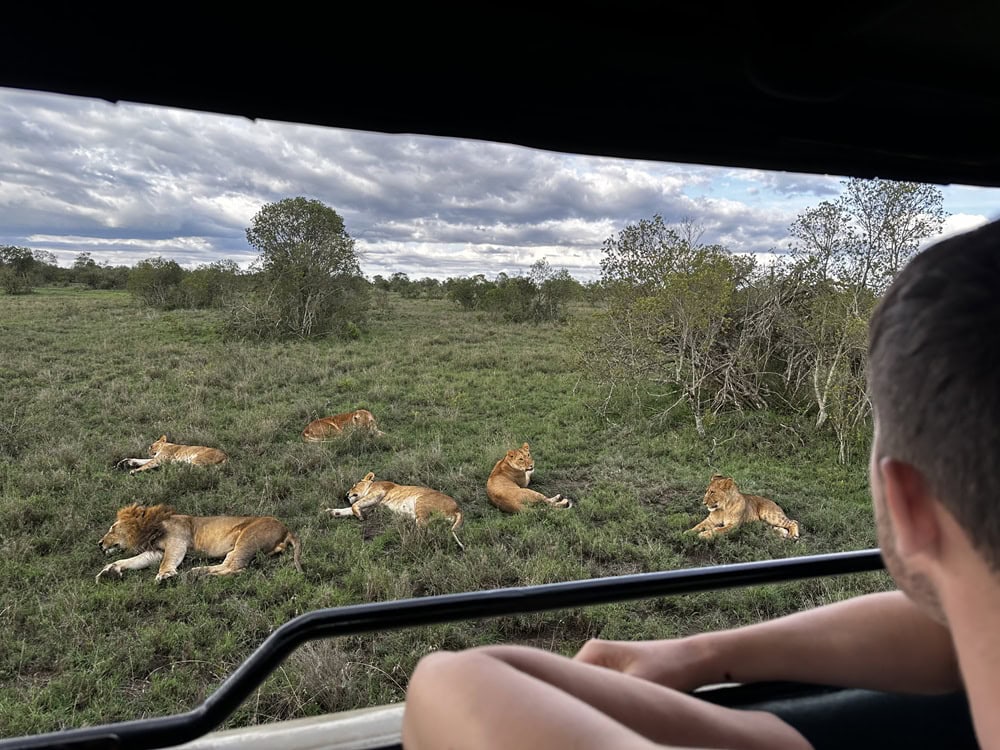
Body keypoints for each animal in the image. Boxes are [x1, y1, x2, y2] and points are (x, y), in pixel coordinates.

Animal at [96, 503, 303, 582]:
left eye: (112, 528)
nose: (99, 543)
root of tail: (287, 529)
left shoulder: (178, 541)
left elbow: (167, 562)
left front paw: (165, 575)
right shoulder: (155, 552)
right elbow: (132, 561)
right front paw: (109, 570)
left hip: (248, 539)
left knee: (235, 568)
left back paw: (200, 575)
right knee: (229, 565)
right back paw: (198, 572)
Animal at [325, 471, 465, 549]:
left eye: (354, 485)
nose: (346, 494)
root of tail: (457, 509)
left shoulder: (377, 493)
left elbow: (354, 505)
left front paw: (359, 516)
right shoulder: (370, 506)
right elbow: (349, 508)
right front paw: (332, 511)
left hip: (421, 502)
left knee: (425, 530)